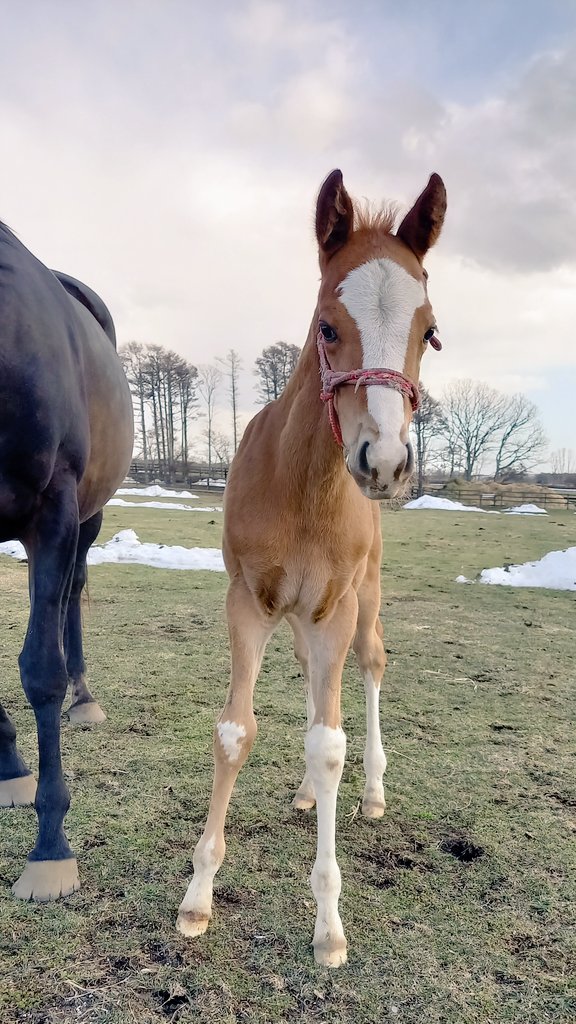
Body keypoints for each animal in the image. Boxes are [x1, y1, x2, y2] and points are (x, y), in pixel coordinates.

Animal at [177, 169, 446, 966]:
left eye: (430, 332)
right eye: (328, 325)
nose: (383, 462)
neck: (304, 487)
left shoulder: (335, 608)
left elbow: (330, 744)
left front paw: (329, 925)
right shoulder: (249, 601)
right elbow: (235, 732)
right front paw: (198, 896)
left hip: (364, 600)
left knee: (371, 665)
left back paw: (374, 793)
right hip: (297, 618)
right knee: (306, 681)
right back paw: (301, 793)